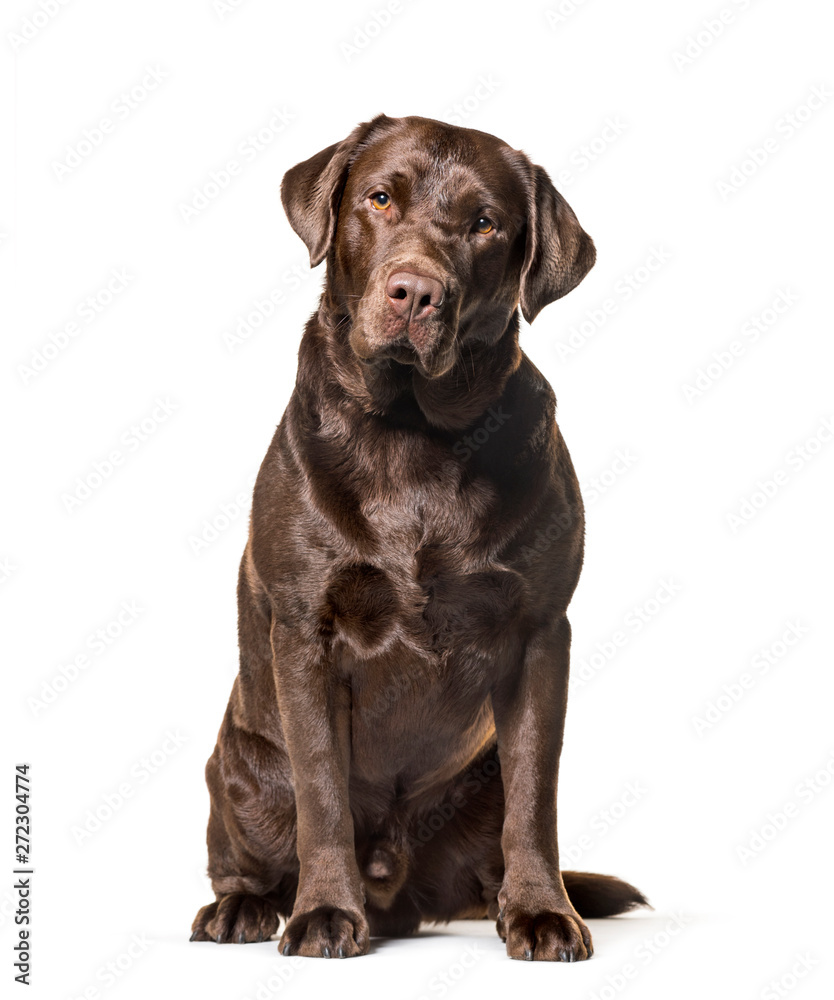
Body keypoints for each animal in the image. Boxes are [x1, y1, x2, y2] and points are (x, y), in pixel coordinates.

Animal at [188, 115, 644, 960]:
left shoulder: (539, 634)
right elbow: (323, 791)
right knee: (247, 850)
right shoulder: (306, 633)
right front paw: (322, 912)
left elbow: (536, 796)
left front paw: (543, 913)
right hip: (238, 770)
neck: (413, 434)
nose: (415, 291)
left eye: (484, 224)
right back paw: (244, 908)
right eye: (379, 199)